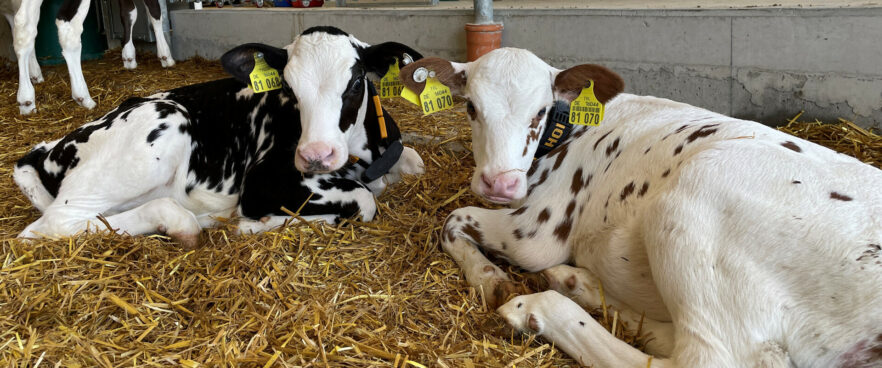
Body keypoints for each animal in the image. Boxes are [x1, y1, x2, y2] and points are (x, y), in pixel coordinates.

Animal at [8, 0, 174, 114]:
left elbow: (129, 12)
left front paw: (129, 56)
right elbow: (155, 10)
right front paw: (165, 55)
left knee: (23, 24)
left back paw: (26, 97)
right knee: (68, 26)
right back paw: (82, 96)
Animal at [400, 49, 880, 368]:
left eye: (539, 110)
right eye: (470, 107)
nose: (499, 182)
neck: (570, 128)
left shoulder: (535, 233)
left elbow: (453, 219)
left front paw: (489, 278)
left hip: (694, 200)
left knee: (702, 358)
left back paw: (537, 307)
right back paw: (577, 283)